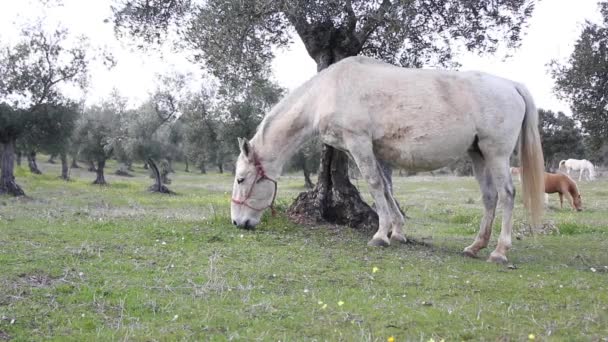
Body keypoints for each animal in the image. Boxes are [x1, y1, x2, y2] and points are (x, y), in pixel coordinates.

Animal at [230, 56, 544, 264]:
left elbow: (374, 185)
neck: (329, 90)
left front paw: (381, 235)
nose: (238, 222)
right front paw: (398, 232)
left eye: (241, 179)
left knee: (507, 194)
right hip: (478, 154)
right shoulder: (375, 151)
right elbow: (388, 188)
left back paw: (499, 252)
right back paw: (475, 246)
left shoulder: (359, 143)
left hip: (496, 154)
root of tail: (511, 85)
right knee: (490, 197)